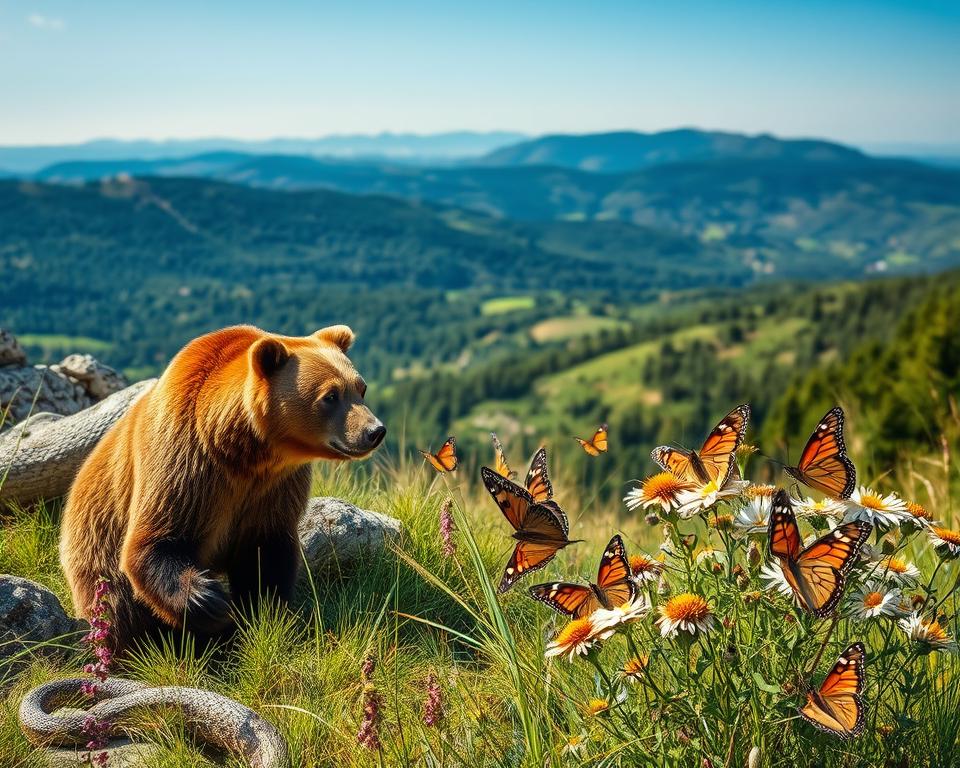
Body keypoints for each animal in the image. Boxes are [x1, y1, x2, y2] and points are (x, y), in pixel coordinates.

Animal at [59, 324, 385, 653]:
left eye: (360, 388)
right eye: (330, 395)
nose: (374, 431)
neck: (242, 450)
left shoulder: (274, 487)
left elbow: (265, 553)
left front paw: (260, 614)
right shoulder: (187, 461)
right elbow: (156, 540)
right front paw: (209, 600)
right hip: (97, 547)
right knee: (118, 608)